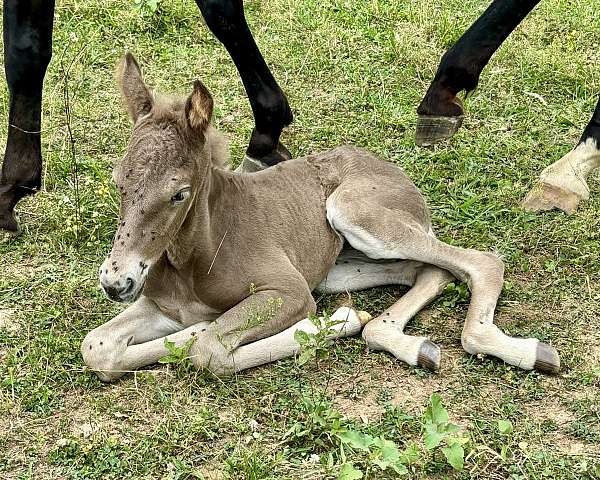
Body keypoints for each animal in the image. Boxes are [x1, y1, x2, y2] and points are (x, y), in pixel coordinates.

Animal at [82, 55, 560, 382]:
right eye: (118, 181)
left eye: (178, 194)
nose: (116, 282)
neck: (195, 255)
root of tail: (395, 172)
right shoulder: (162, 304)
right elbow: (97, 346)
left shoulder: (289, 289)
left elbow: (211, 347)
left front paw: (332, 322)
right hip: (340, 267)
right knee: (427, 270)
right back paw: (408, 343)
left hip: (353, 213)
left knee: (480, 261)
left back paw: (521, 350)